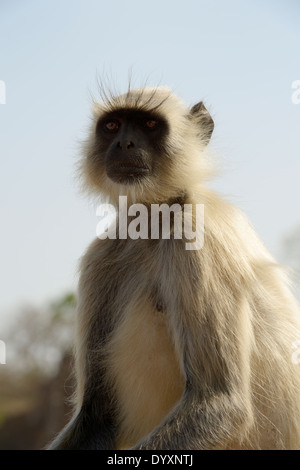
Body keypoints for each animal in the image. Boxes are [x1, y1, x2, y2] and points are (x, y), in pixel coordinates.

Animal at [48, 86, 300, 450]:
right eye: (112, 126)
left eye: (150, 124)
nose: (124, 143)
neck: (157, 220)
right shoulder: (102, 255)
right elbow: (96, 418)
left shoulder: (195, 237)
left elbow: (219, 403)